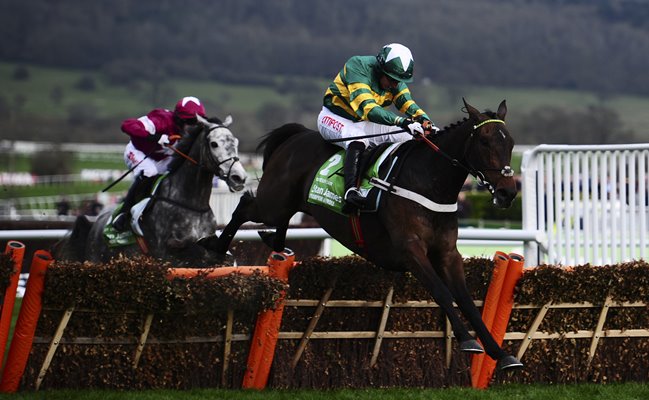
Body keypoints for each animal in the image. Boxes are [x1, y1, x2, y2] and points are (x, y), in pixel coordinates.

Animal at [54, 115, 247, 266]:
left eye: (235, 142)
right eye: (214, 144)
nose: (239, 177)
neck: (191, 203)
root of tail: (94, 224)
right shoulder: (166, 251)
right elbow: (195, 250)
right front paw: (160, 139)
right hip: (95, 258)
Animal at [215, 98, 524, 370]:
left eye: (510, 142)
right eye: (484, 141)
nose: (507, 192)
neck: (428, 181)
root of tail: (297, 135)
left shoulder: (448, 253)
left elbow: (468, 302)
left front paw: (501, 354)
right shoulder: (410, 250)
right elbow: (442, 292)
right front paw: (468, 341)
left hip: (286, 206)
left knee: (277, 224)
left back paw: (274, 243)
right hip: (272, 203)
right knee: (244, 206)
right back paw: (216, 250)